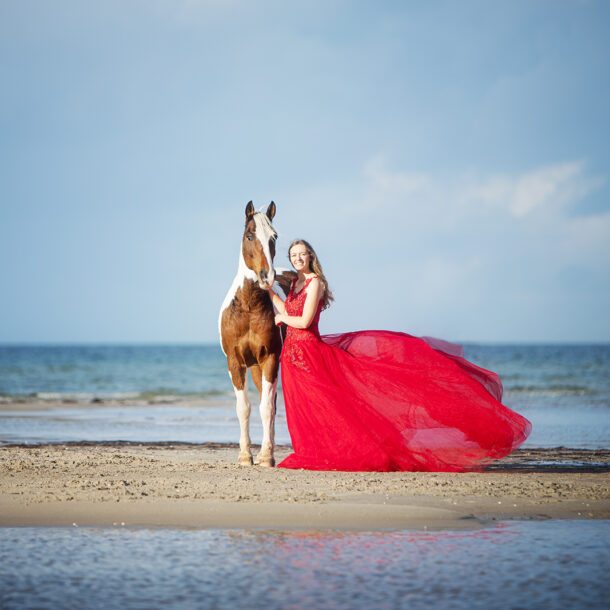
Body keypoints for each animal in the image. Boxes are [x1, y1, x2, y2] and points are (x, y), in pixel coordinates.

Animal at [220, 201, 294, 466]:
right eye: (250, 236)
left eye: (274, 236)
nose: (266, 276)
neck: (248, 306)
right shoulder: (235, 362)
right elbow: (244, 407)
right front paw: (245, 455)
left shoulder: (270, 358)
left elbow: (266, 408)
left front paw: (266, 456)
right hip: (254, 368)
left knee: (269, 403)